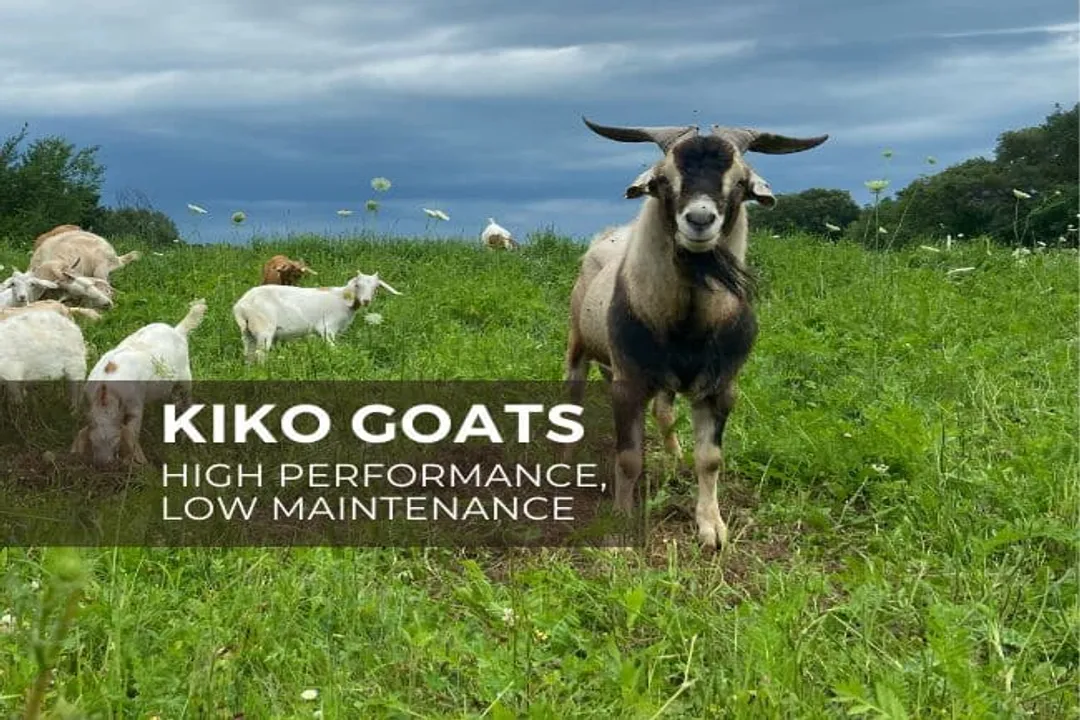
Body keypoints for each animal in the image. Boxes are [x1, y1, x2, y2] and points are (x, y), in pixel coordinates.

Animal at [71, 299, 207, 468]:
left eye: (116, 441)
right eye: (93, 442)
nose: (104, 464)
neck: (106, 393)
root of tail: (177, 331)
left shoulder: (135, 405)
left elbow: (133, 430)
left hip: (185, 376)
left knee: (187, 399)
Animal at [232, 271, 401, 363]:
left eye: (376, 287)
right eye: (357, 285)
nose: (366, 301)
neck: (342, 300)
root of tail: (241, 306)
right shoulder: (328, 328)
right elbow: (333, 349)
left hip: (247, 331)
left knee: (248, 353)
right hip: (264, 328)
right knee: (260, 354)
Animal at [565, 116, 828, 552]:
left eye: (740, 181)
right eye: (662, 179)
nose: (701, 220)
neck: (686, 323)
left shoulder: (721, 387)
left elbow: (710, 458)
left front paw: (712, 527)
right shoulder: (628, 382)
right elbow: (628, 458)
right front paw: (620, 526)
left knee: (665, 412)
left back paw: (674, 456)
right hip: (578, 345)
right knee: (574, 396)